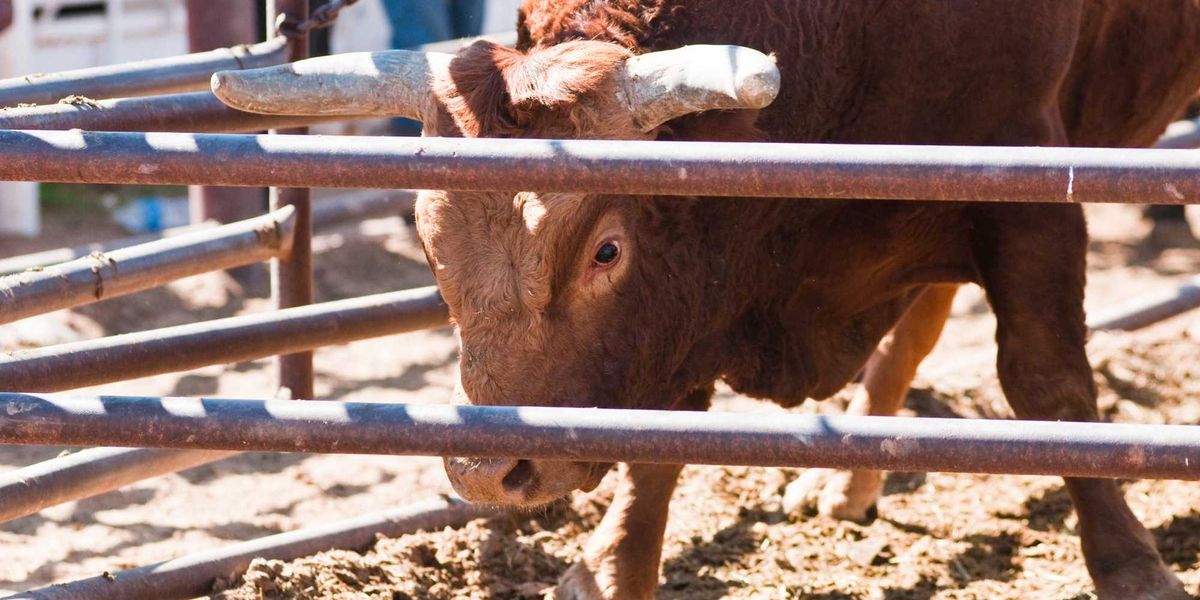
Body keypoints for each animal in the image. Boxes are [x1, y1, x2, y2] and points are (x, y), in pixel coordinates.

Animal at [211, 2, 1200, 598]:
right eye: (427, 235)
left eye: (607, 249)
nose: (488, 474)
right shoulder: (691, 293)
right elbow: (664, 429)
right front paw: (614, 566)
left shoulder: (1027, 183)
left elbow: (1049, 385)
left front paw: (1131, 567)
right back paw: (848, 479)